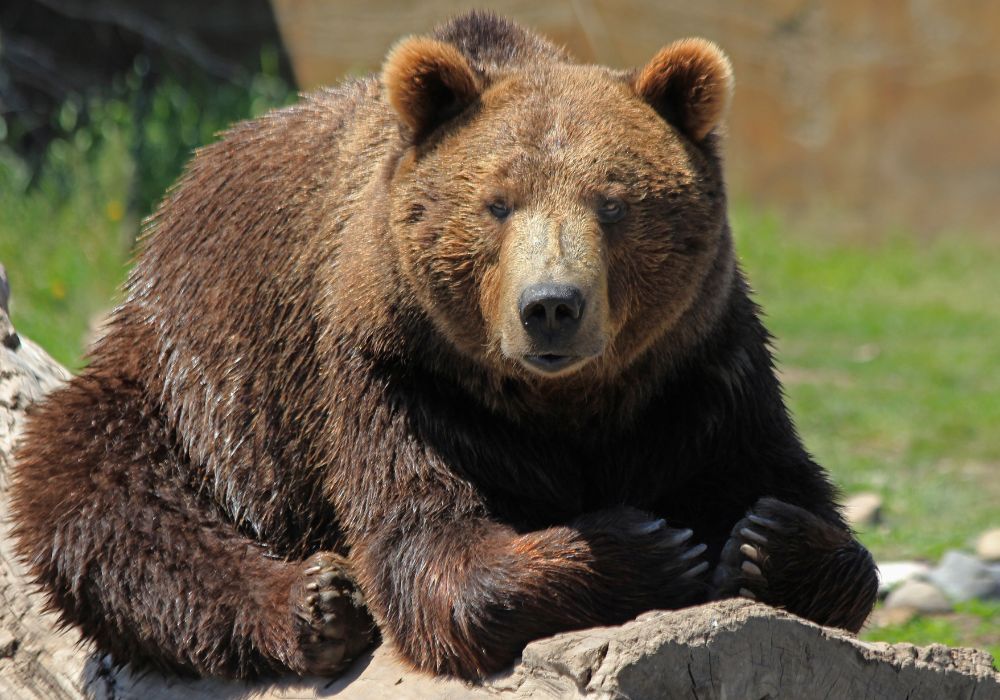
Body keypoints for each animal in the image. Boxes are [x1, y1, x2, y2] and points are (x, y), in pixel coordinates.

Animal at [9, 9, 876, 680]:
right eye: (497, 203)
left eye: (614, 203)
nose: (550, 307)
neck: (565, 403)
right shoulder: (399, 374)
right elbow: (430, 548)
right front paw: (646, 547)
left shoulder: (699, 367)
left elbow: (791, 492)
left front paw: (768, 541)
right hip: (192, 383)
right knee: (100, 495)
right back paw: (316, 603)